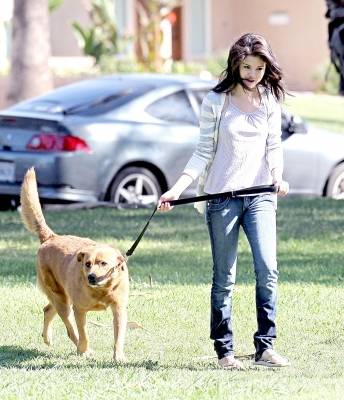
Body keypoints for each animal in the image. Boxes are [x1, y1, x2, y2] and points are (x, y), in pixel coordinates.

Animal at [20, 167, 130, 360]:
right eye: (87, 264)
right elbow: (84, 334)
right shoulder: (80, 310)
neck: (102, 291)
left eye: (103, 263)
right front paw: (84, 351)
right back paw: (79, 348)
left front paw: (118, 357)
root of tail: (51, 237)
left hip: (62, 299)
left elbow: (118, 336)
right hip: (63, 301)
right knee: (70, 329)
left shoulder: (119, 309)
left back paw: (47, 339)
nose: (91, 277)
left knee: (48, 310)